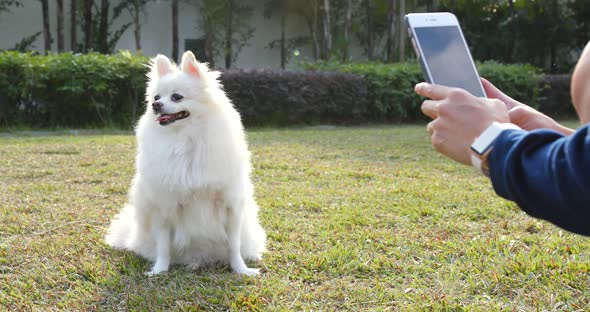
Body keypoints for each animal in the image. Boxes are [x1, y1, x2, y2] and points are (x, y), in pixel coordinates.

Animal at [106, 50, 268, 276]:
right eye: (156, 97)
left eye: (177, 96)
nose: (155, 105)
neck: (185, 140)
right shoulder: (164, 207)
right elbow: (163, 246)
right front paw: (159, 270)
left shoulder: (230, 205)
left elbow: (233, 245)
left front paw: (241, 270)